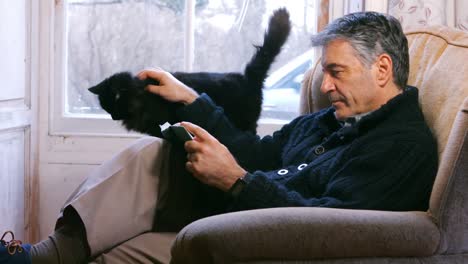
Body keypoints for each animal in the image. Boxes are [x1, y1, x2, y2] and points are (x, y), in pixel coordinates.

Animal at [88, 8, 288, 137]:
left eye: (114, 106)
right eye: (106, 109)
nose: (113, 117)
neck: (142, 97)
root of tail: (247, 76)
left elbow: (159, 128)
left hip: (243, 120)